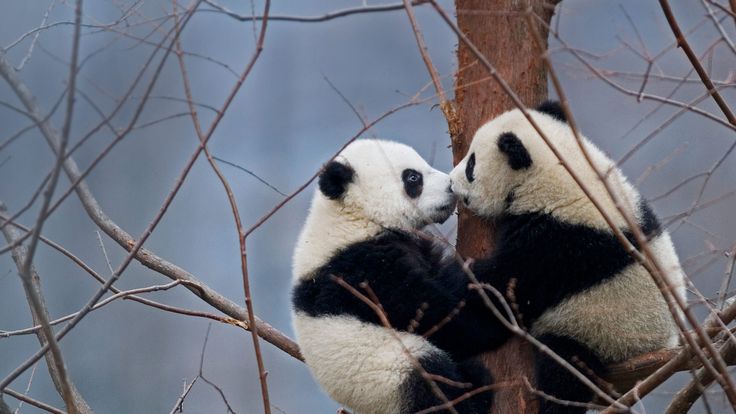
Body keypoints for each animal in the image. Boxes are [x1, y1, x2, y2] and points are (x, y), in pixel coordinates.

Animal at [292, 139, 494, 414]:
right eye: (413, 177)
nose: (451, 187)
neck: (354, 218)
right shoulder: (363, 271)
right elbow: (439, 314)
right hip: (388, 374)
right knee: (430, 379)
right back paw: (475, 390)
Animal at [448, 101, 688, 414]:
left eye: (471, 165)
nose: (450, 182)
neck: (559, 171)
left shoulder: (560, 242)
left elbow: (503, 284)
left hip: (599, 334)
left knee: (564, 370)